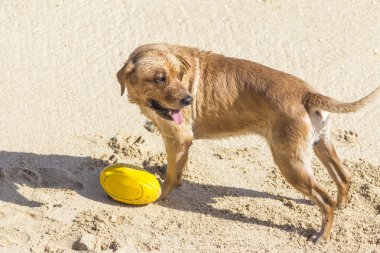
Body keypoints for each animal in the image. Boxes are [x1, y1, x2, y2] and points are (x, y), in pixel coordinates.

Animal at [116, 43, 380, 243]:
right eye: (160, 78)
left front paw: (161, 196)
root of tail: (306, 93)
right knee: (344, 177)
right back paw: (343, 205)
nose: (188, 100)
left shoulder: (179, 139)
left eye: (180, 76)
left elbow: (170, 178)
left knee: (326, 199)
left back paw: (322, 236)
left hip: (289, 162)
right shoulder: (176, 142)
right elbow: (175, 170)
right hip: (321, 145)